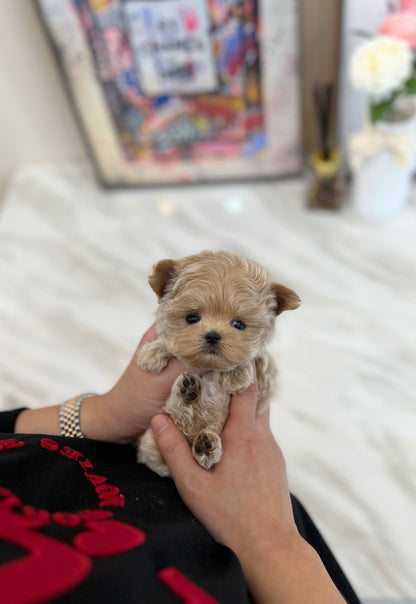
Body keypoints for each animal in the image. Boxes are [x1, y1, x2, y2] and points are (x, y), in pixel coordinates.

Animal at [136, 250, 300, 476]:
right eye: (192, 318)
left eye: (239, 324)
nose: (213, 335)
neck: (211, 369)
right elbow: (166, 346)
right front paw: (152, 353)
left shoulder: (266, 383)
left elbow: (255, 362)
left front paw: (238, 374)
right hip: (154, 438)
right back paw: (187, 393)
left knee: (204, 459)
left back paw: (206, 446)